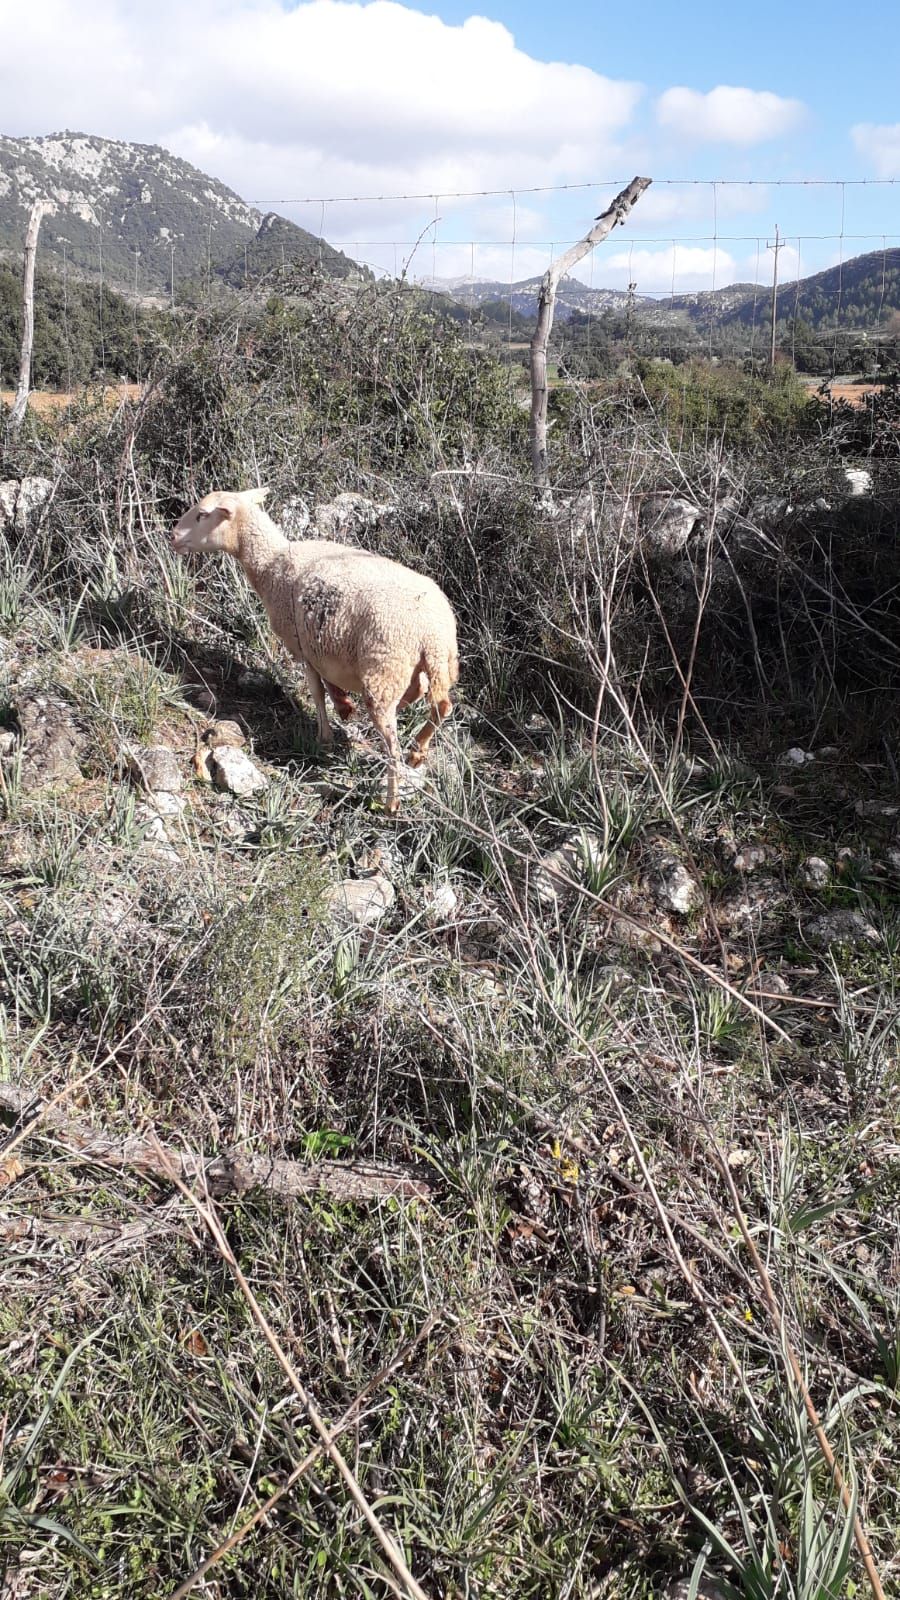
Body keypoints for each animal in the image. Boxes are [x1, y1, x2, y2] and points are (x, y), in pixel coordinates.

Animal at [171, 486, 458, 812]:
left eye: (203, 515)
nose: (173, 536)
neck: (271, 562)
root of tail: (432, 633)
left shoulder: (303, 647)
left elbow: (318, 692)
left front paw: (325, 736)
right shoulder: (323, 646)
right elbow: (332, 686)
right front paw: (345, 707)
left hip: (385, 670)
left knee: (393, 747)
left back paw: (390, 802)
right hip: (435, 665)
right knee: (439, 705)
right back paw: (418, 750)